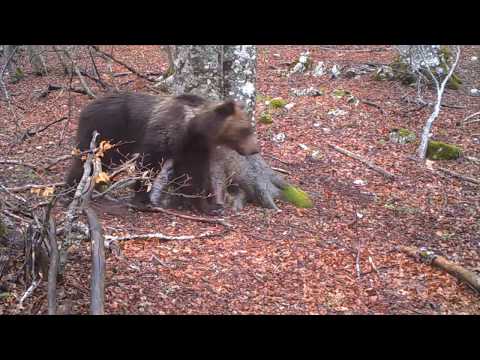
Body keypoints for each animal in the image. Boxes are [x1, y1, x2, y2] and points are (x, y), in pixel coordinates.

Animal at [67, 91, 258, 214]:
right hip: (106, 134)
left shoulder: (193, 147)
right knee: (88, 160)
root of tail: (86, 107)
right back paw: (73, 190)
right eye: (245, 130)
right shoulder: (164, 133)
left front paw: (210, 206)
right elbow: (149, 163)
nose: (255, 149)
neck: (193, 127)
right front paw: (143, 200)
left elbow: (194, 174)